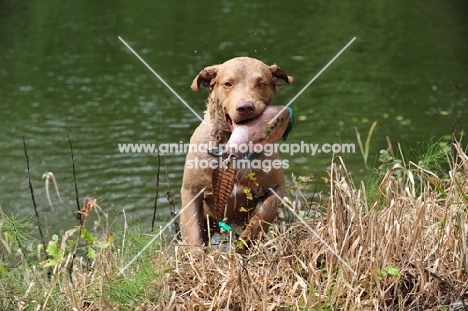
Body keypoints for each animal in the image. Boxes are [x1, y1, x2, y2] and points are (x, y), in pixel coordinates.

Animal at [180, 56, 292, 246]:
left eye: (261, 83)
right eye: (227, 83)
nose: (245, 107)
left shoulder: (276, 186)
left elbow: (267, 210)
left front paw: (247, 237)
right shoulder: (191, 192)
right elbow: (194, 232)